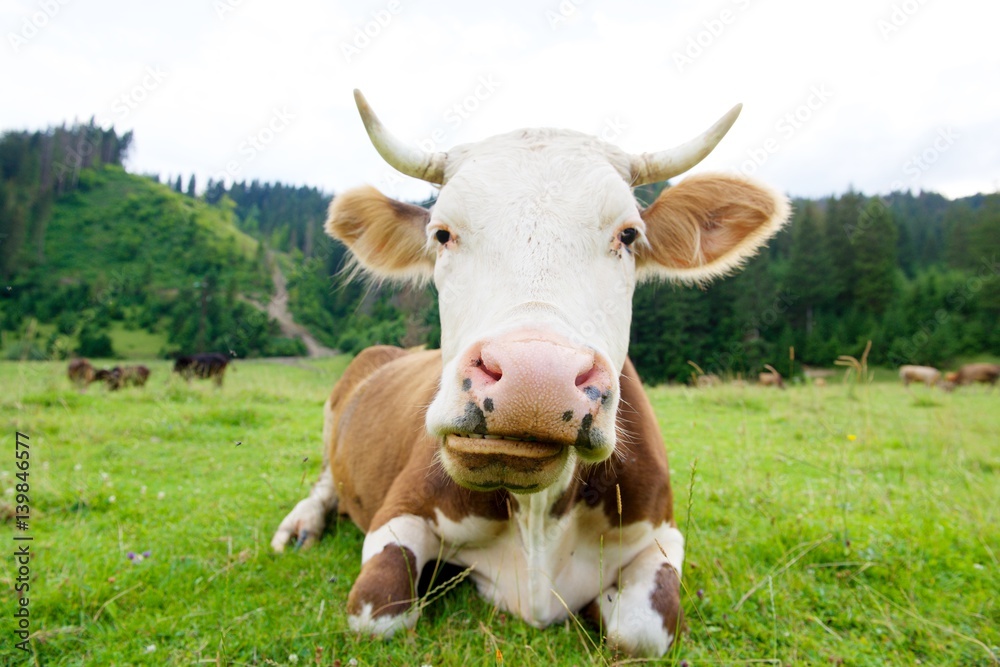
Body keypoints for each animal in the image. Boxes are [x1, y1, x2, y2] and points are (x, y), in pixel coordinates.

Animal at [268, 90, 788, 656]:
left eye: (628, 235)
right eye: (442, 234)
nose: (534, 380)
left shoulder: (662, 532)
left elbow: (641, 630)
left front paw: (600, 607)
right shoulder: (398, 514)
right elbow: (378, 610)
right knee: (326, 482)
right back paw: (300, 525)